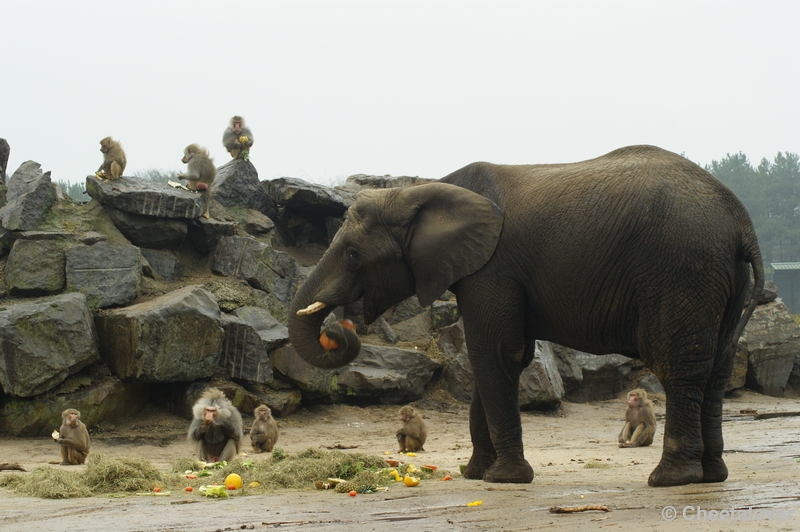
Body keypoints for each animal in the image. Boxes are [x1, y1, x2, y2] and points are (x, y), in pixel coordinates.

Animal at [290, 144, 764, 486]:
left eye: (353, 255)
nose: (340, 329)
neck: (423, 189)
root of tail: (743, 224)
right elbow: (496, 361)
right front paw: (475, 475)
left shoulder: (493, 269)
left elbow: (496, 354)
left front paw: (504, 479)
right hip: (719, 278)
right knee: (717, 368)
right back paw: (712, 476)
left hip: (682, 271)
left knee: (680, 366)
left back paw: (669, 479)